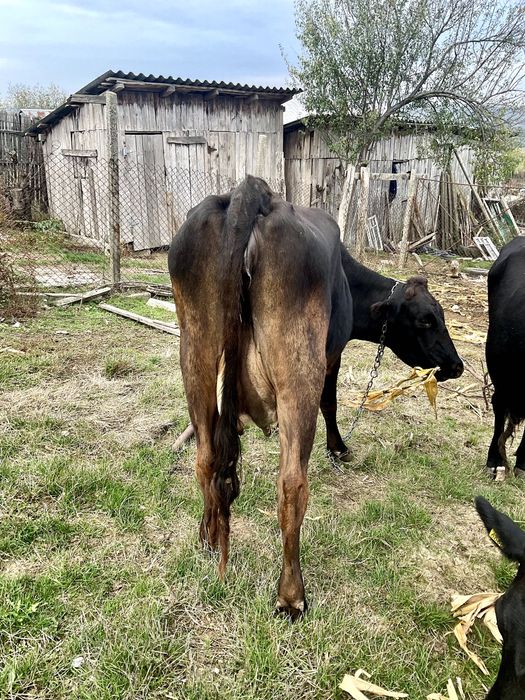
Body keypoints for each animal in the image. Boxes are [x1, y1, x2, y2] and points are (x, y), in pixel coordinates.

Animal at [168, 175, 463, 618]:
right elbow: (331, 402)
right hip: (298, 369)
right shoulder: (331, 354)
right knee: (291, 484)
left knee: (205, 459)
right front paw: (339, 447)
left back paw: (207, 538)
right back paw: (292, 596)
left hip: (195, 354)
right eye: (427, 320)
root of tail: (250, 195)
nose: (457, 365)